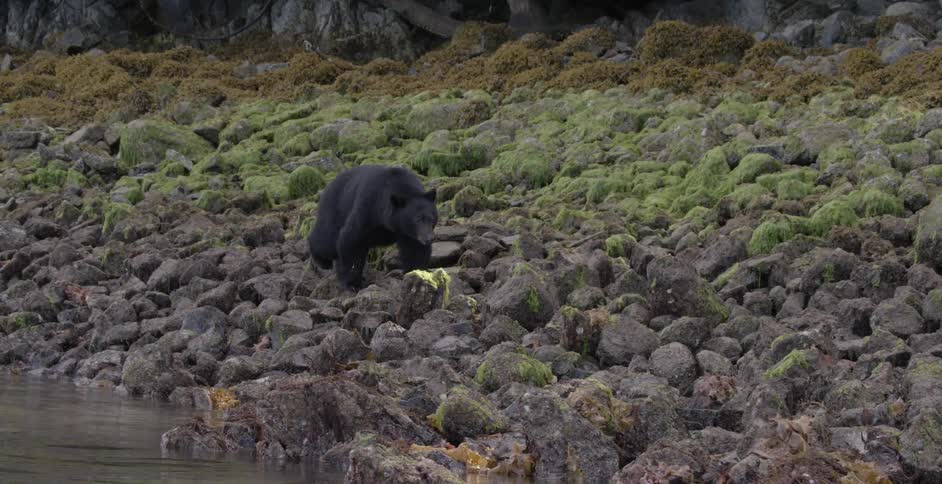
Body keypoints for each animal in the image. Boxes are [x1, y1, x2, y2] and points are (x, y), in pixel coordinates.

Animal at [307, 164, 439, 290]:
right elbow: (352, 241)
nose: (429, 238)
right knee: (326, 240)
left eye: (431, 218)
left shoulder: (409, 232)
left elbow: (415, 249)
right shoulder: (368, 207)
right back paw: (321, 261)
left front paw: (417, 275)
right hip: (336, 208)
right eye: (418, 219)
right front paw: (353, 283)